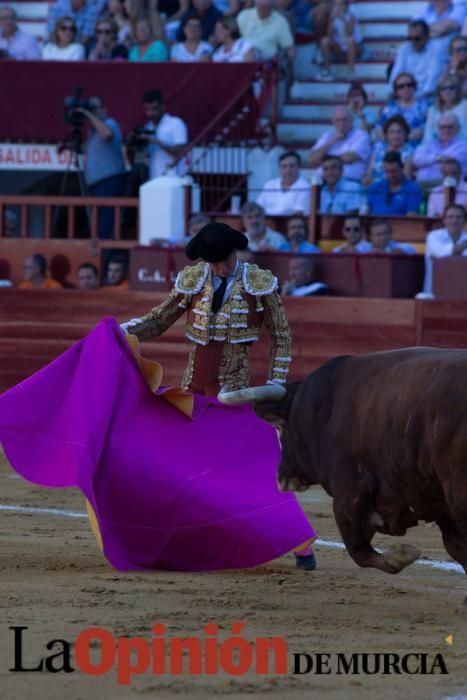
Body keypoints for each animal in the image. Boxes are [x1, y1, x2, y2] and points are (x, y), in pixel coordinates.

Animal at [219, 348, 467, 584]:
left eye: (281, 428)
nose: (282, 478)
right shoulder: (439, 506)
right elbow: (458, 550)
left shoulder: (349, 493)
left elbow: (357, 550)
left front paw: (403, 554)